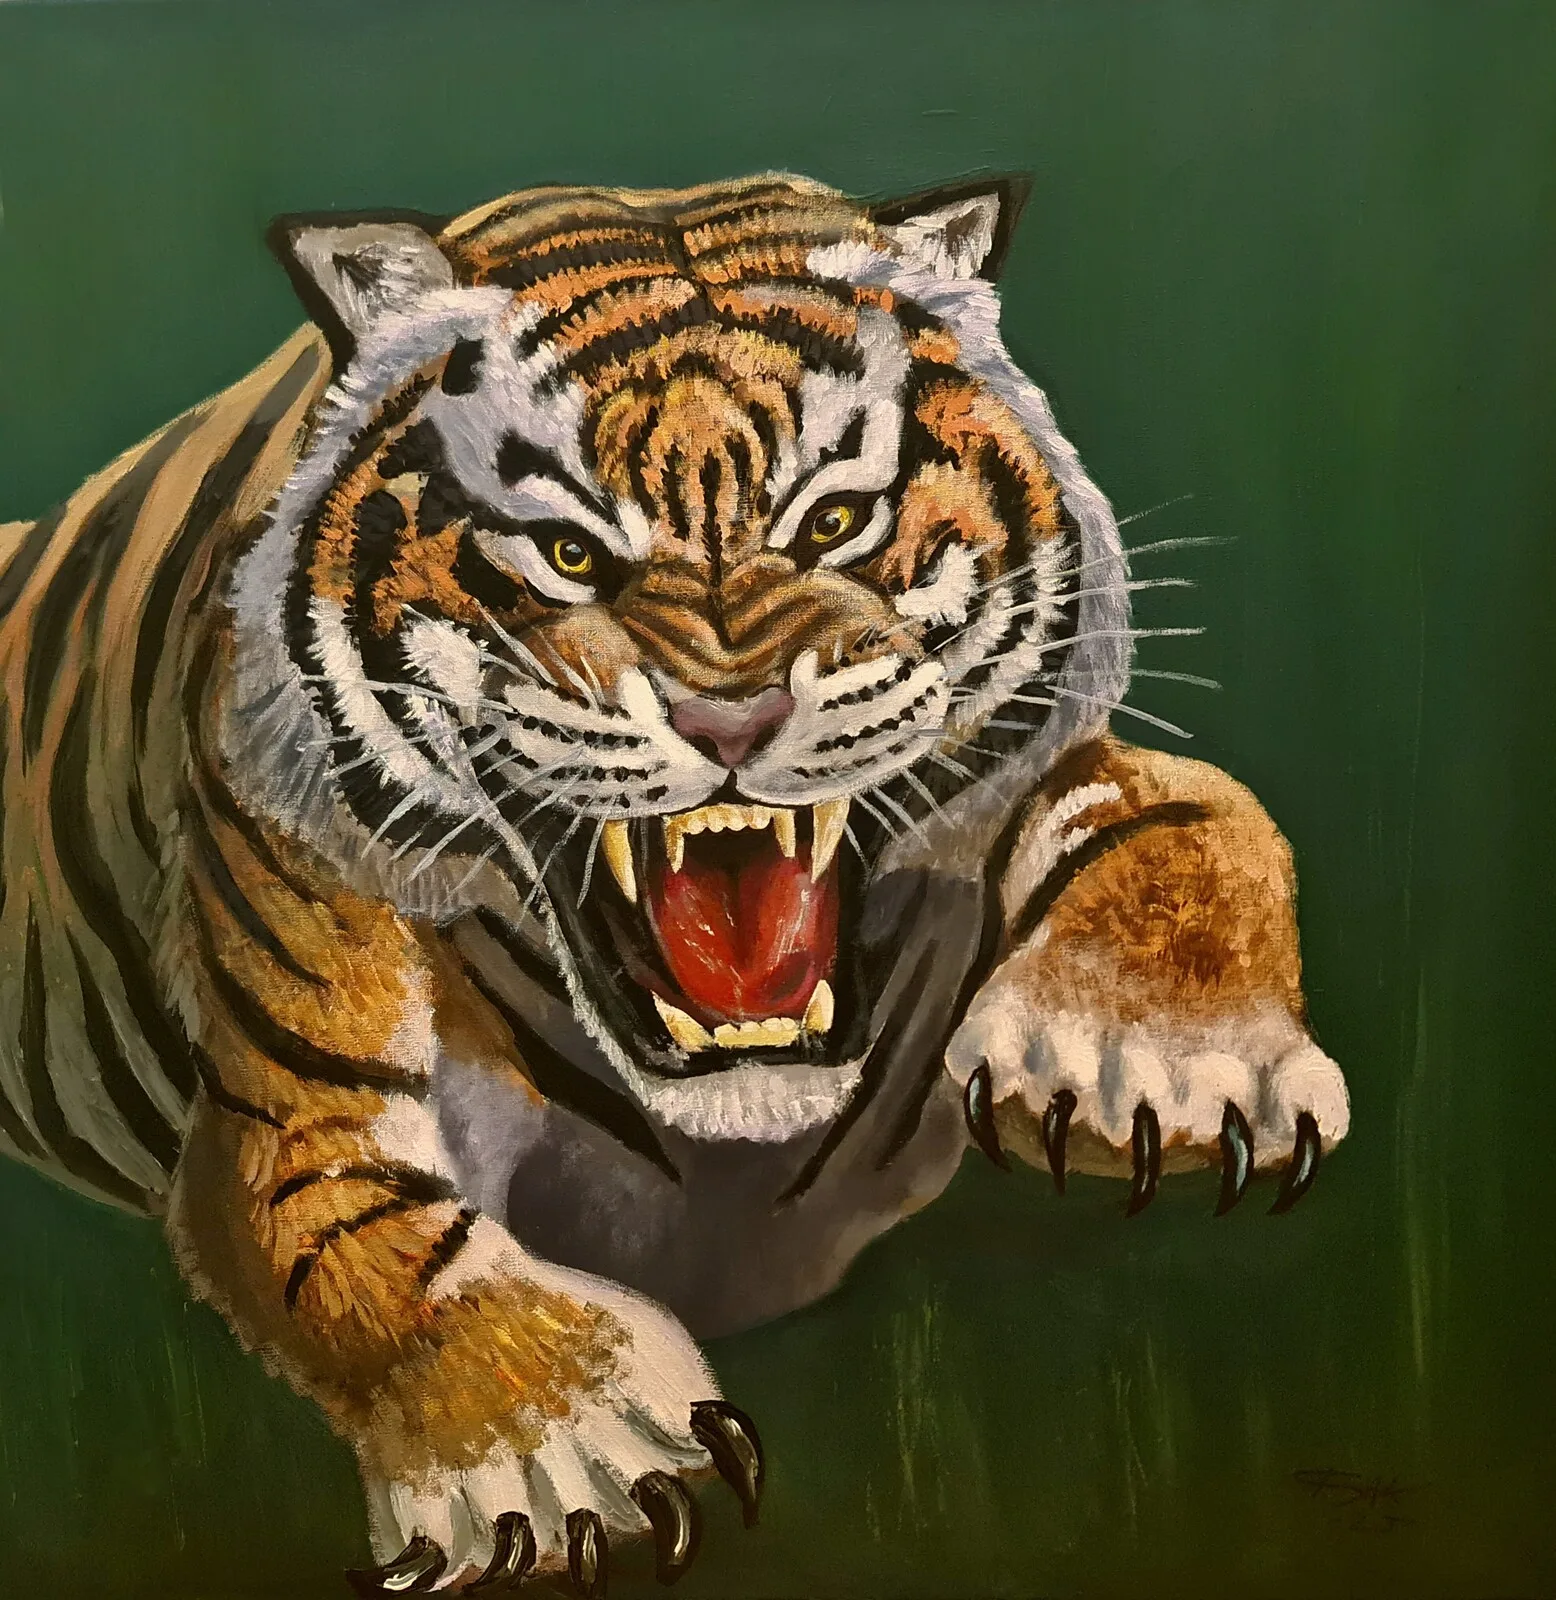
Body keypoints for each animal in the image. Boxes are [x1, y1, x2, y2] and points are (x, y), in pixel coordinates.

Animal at [0, 173, 1349, 1594]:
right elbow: (355, 1237)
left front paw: (1158, 1053)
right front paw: (562, 1440)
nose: (730, 719)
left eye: (832, 520)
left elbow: (1197, 811)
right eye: (567, 552)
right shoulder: (285, 1109)